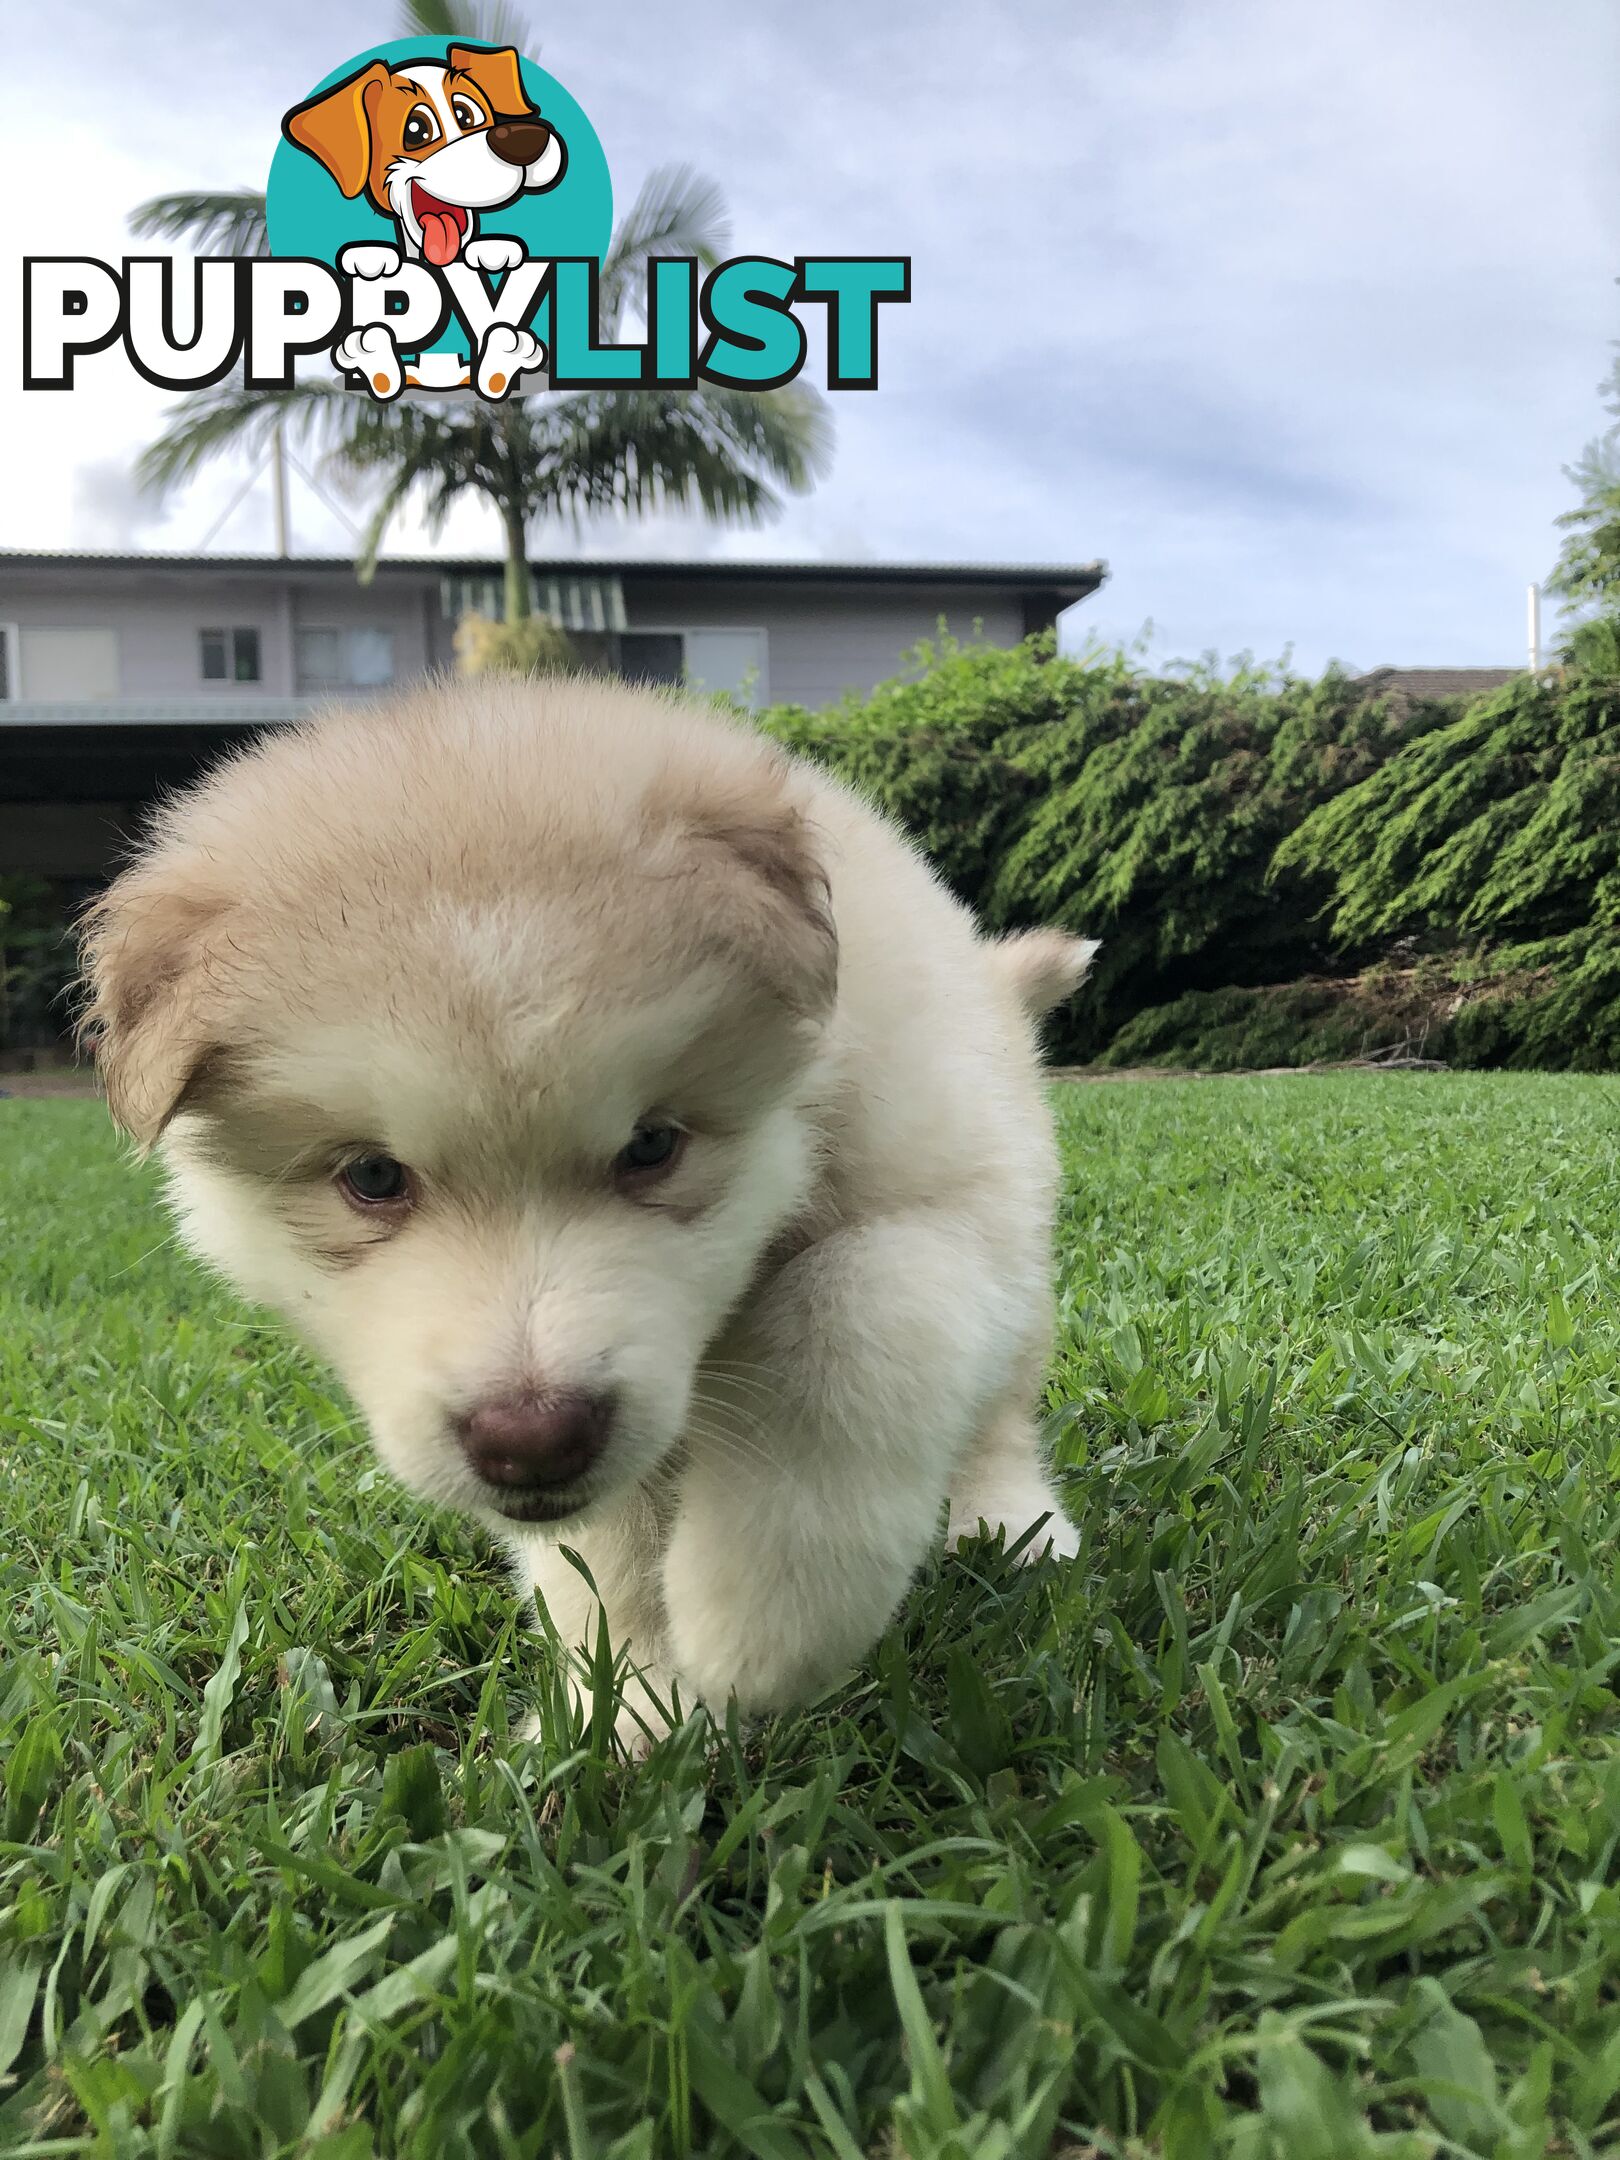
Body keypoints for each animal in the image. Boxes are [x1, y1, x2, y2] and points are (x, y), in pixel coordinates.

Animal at [76, 682, 1092, 1745]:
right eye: (373, 1176)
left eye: (651, 1145)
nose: (531, 1440)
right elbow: (605, 1562)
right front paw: (637, 1707)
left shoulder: (945, 1196)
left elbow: (855, 1314)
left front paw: (767, 1615)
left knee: (996, 1414)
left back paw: (1012, 1526)